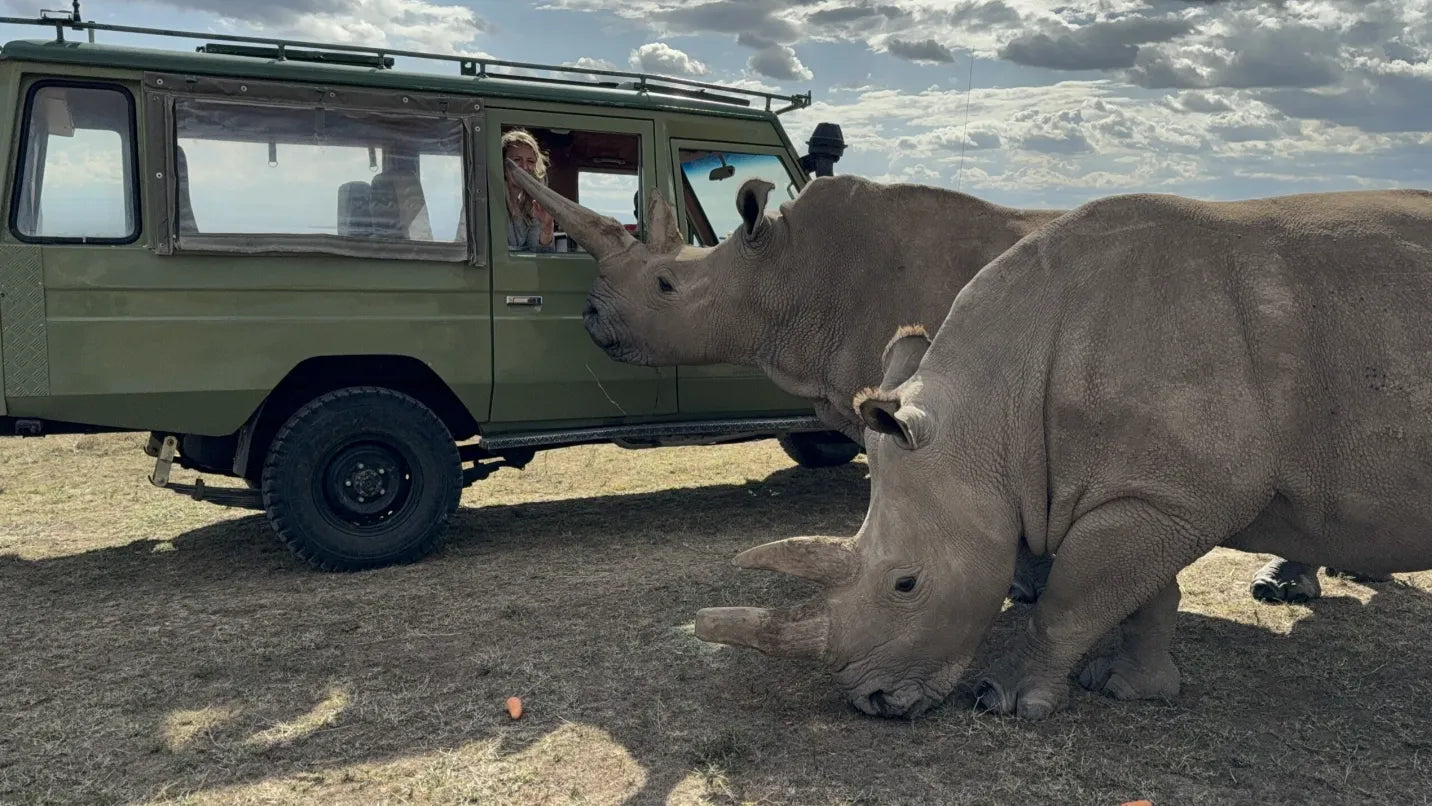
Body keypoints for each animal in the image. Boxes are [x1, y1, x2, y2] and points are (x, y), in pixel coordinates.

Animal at [688, 186, 1432, 719]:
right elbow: (1136, 593)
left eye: (906, 585)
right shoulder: (1156, 491)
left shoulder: (1176, 492)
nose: (871, 704)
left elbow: (1076, 594)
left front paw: (1005, 700)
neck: (992, 412)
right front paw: (1131, 688)